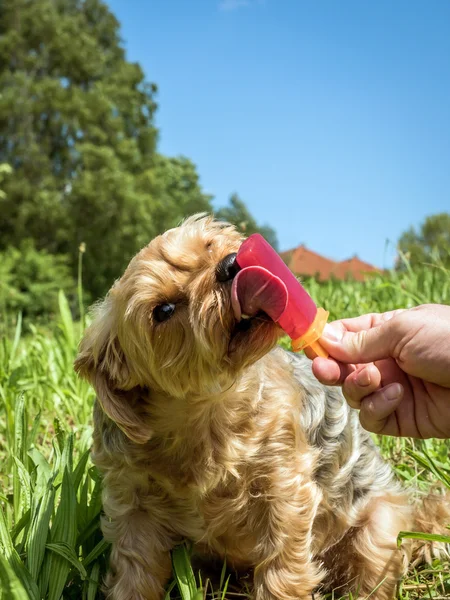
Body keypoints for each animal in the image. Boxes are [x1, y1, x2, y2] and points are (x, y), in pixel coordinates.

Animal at [75, 216, 448, 600]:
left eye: (209, 245)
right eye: (162, 311)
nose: (230, 265)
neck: (205, 412)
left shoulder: (284, 484)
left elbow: (283, 567)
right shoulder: (131, 500)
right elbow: (134, 569)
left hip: (379, 526)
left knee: (372, 566)